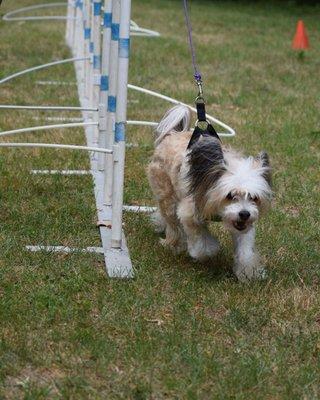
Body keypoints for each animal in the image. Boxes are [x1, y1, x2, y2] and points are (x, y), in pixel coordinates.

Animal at [148, 105, 272, 282]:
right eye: (230, 196)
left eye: (253, 198)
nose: (244, 214)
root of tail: (171, 134)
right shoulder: (190, 212)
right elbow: (202, 243)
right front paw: (209, 250)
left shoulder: (243, 226)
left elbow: (245, 249)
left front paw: (249, 272)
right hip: (167, 195)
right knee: (173, 223)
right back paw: (174, 244)